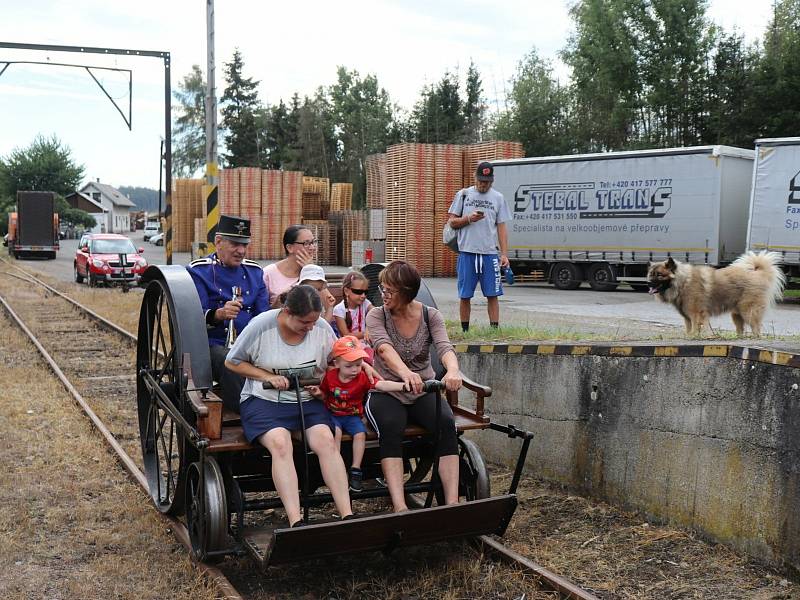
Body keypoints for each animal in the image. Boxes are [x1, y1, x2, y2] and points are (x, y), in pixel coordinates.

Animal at [648, 251, 784, 338]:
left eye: (659, 275)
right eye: (651, 274)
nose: (648, 283)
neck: (683, 282)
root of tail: (758, 274)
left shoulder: (696, 315)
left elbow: (695, 329)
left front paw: (694, 337)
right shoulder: (687, 317)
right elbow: (689, 329)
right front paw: (690, 336)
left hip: (748, 311)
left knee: (756, 329)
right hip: (737, 315)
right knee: (740, 329)